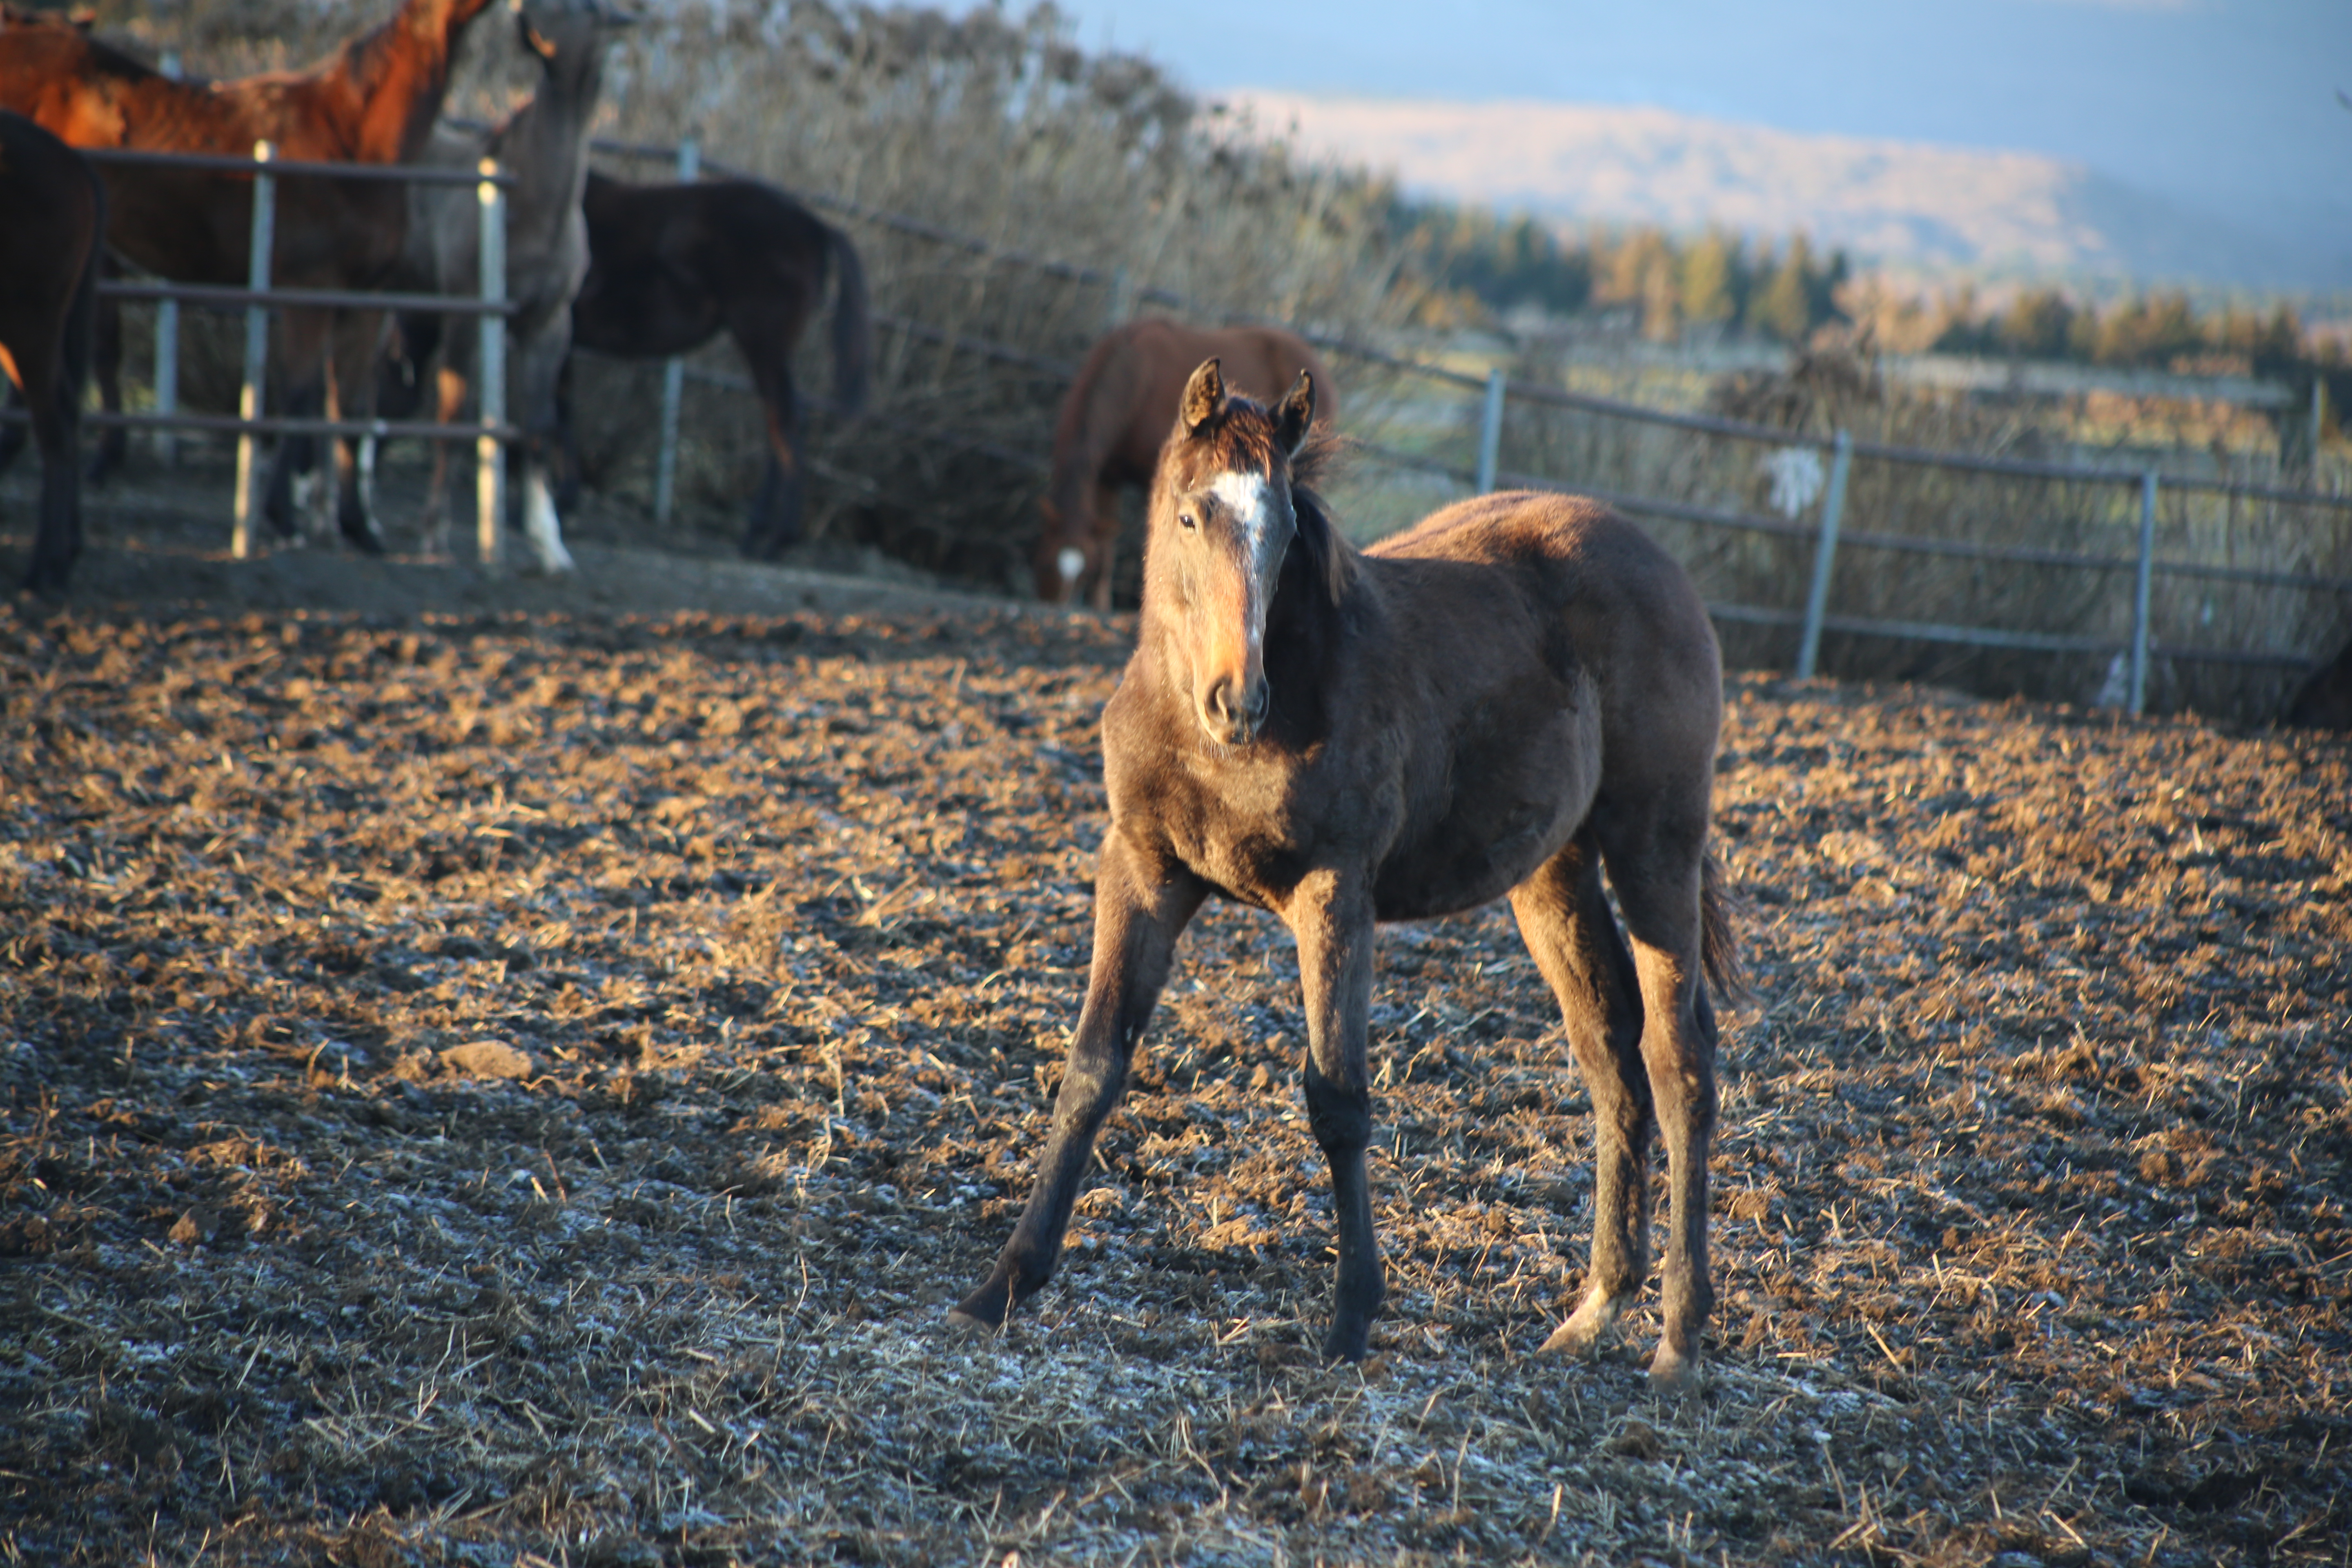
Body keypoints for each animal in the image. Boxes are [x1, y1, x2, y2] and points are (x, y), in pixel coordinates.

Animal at [0, 0, 496, 552]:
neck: (355, 135)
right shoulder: (308, 290)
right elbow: (300, 394)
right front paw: (283, 513)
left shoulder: (364, 299)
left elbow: (350, 406)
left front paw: (359, 526)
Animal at [564, 165, 880, 555]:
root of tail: (810, 222)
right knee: (780, 420)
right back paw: (757, 533)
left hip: (761, 342)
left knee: (786, 420)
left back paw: (778, 539)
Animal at [955, 359, 1750, 1382]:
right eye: (1191, 516)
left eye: (1287, 529)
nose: (1237, 702)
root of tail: (1659, 563)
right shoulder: (1141, 870)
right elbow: (1093, 1066)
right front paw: (1001, 1287)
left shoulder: (1334, 893)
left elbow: (1337, 1098)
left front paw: (1351, 1319)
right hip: (1553, 873)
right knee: (1609, 1046)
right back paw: (1596, 1309)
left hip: (1655, 841)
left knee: (1677, 1055)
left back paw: (1678, 1341)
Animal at [1035, 315, 1336, 611]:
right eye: (1046, 563)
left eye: (1082, 575)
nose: (1054, 609)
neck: (1135, 377)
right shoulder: (1108, 477)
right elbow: (1106, 545)